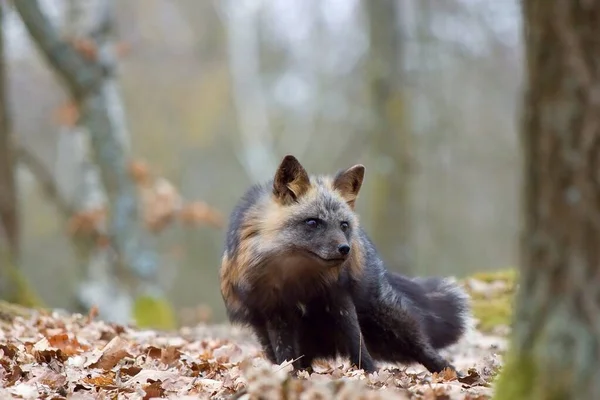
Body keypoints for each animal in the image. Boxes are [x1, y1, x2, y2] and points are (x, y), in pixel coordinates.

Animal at [218, 154, 472, 376]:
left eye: (343, 225)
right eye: (313, 222)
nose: (345, 249)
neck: (299, 281)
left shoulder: (338, 298)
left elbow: (357, 345)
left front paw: (370, 375)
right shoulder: (277, 312)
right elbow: (287, 357)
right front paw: (291, 378)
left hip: (389, 322)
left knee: (425, 349)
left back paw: (455, 375)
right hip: (268, 334)